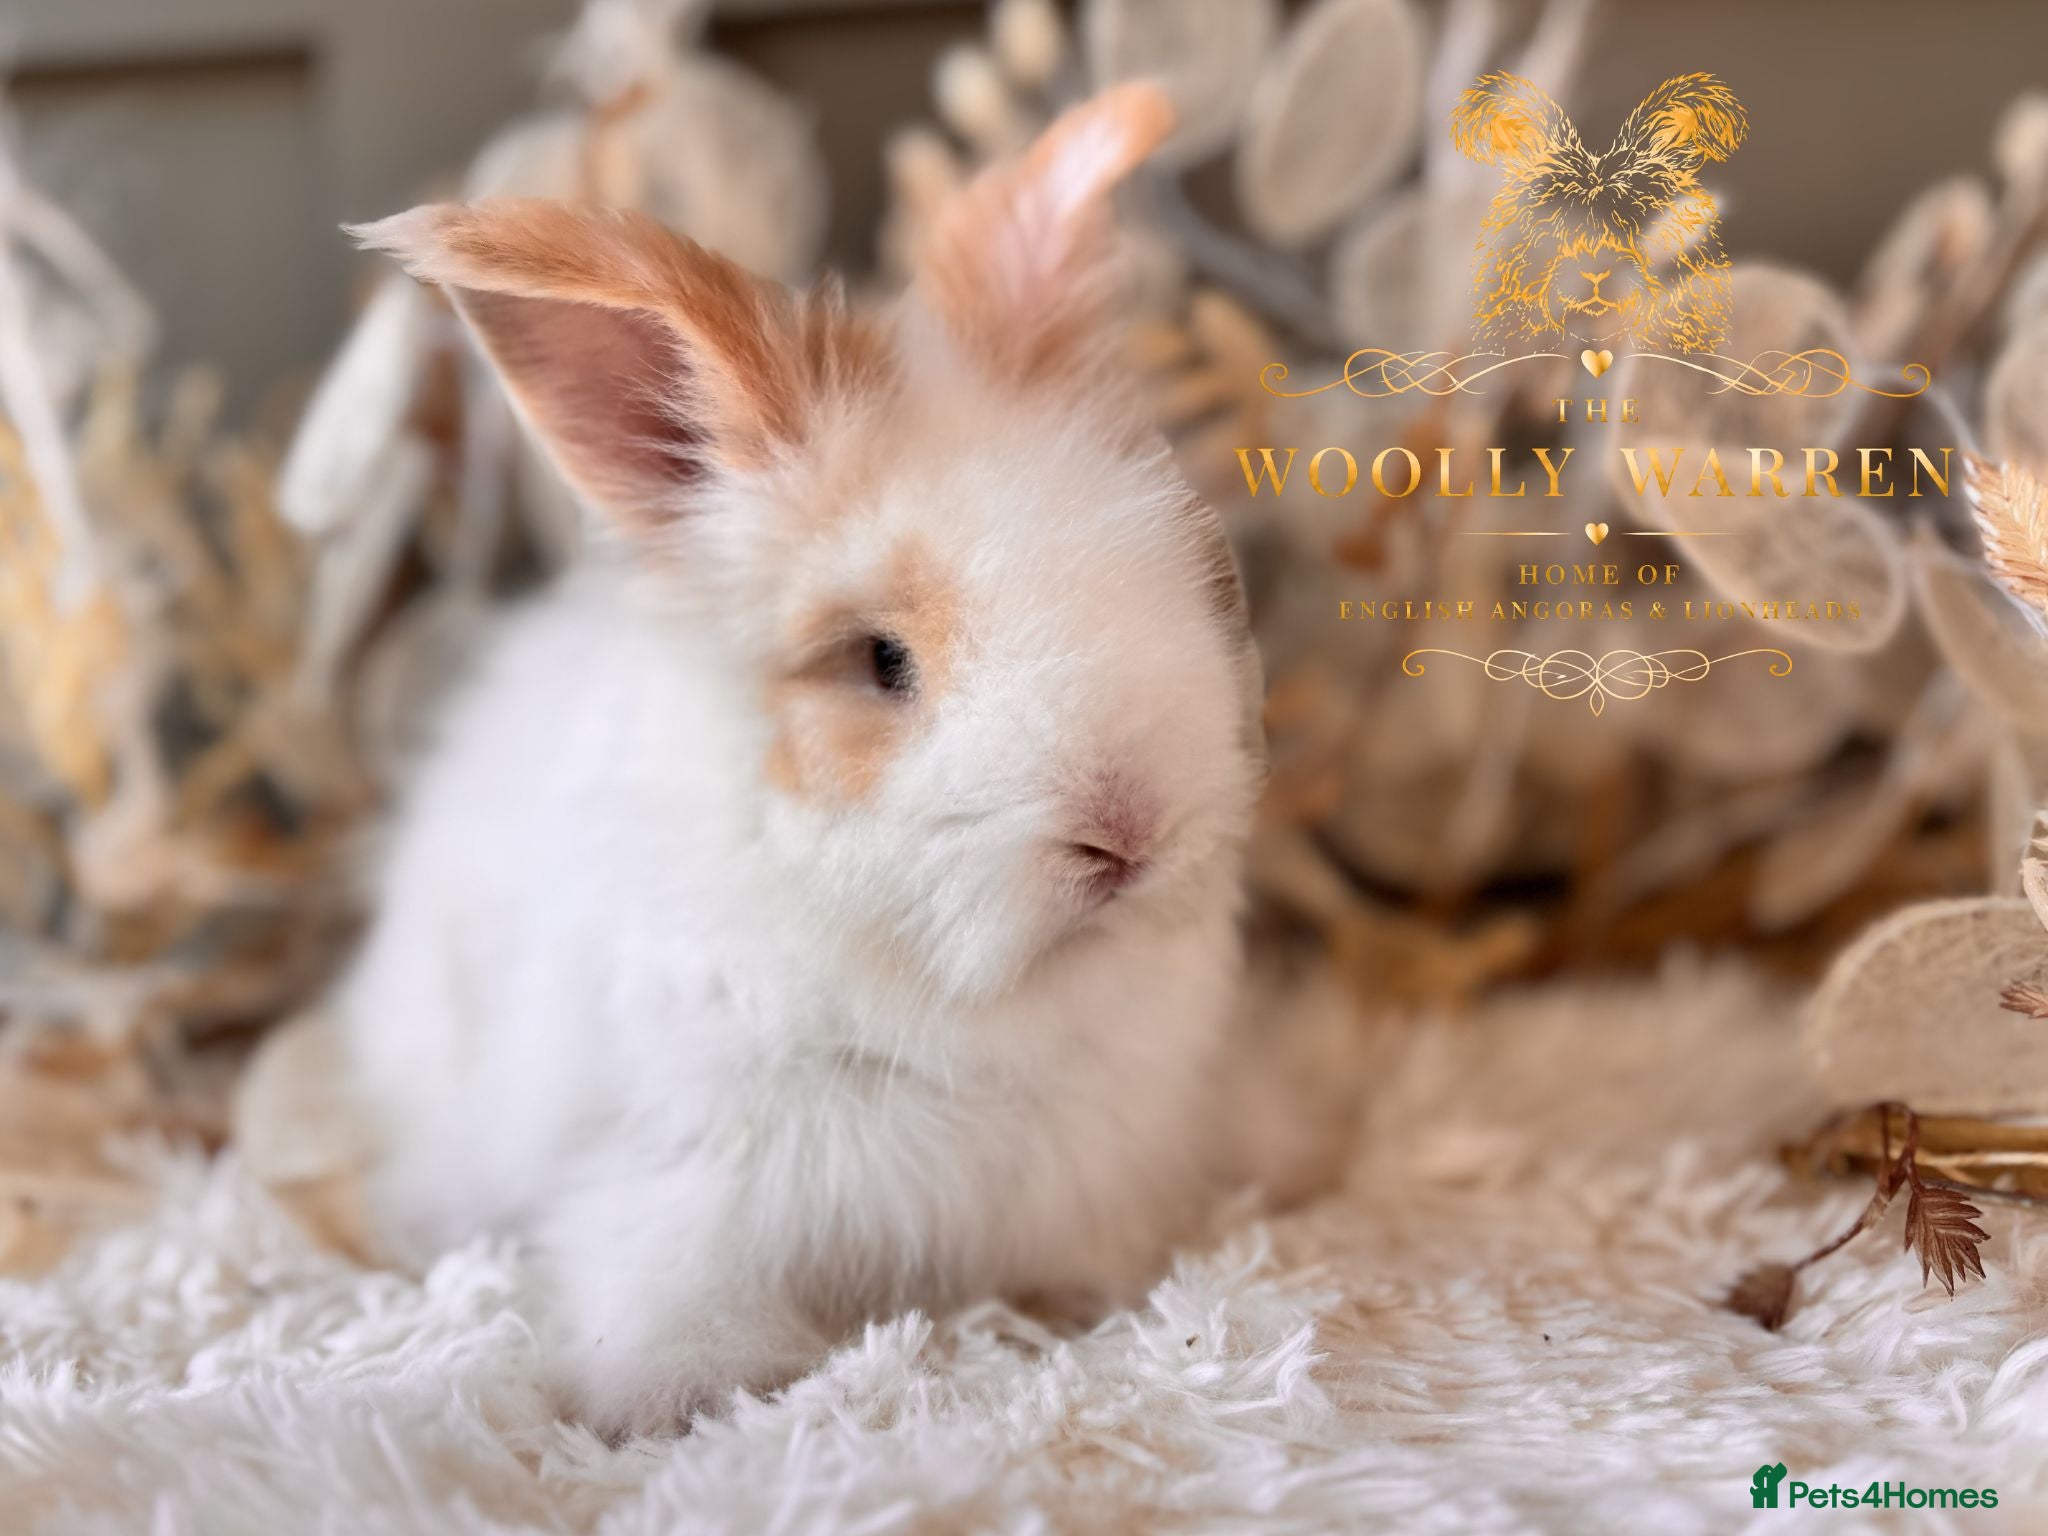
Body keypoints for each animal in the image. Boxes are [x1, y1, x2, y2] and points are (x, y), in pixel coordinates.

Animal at [330, 82, 1267, 1439]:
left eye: (1177, 581)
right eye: (879, 660)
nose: (1128, 832)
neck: (961, 1008)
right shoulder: (686, 1171)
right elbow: (669, 1293)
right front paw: (685, 1396)